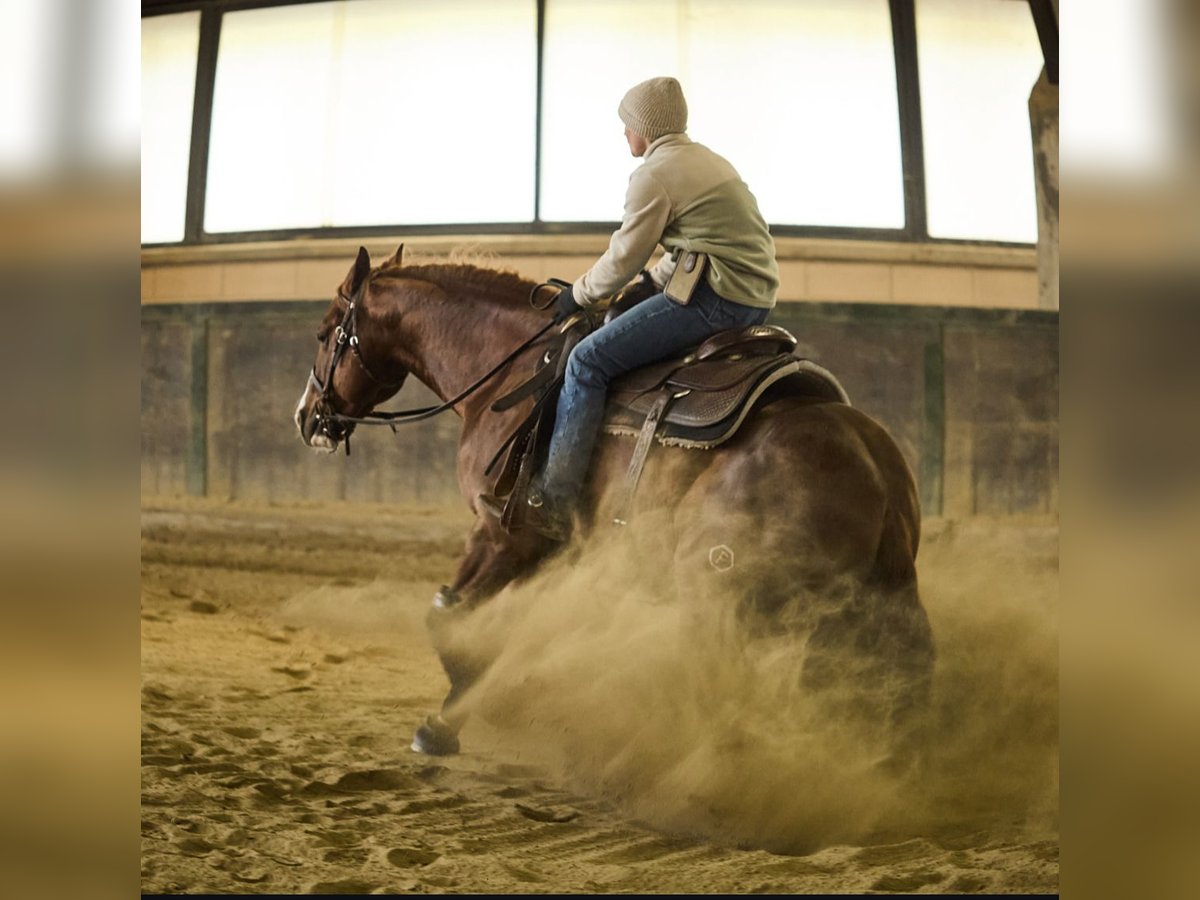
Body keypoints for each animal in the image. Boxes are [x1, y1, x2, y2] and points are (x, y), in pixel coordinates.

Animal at [295, 244, 931, 763]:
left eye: (326, 333)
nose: (307, 417)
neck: (512, 374)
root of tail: (873, 466)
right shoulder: (546, 549)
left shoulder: (501, 530)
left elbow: (446, 614)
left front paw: (441, 724)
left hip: (728, 596)